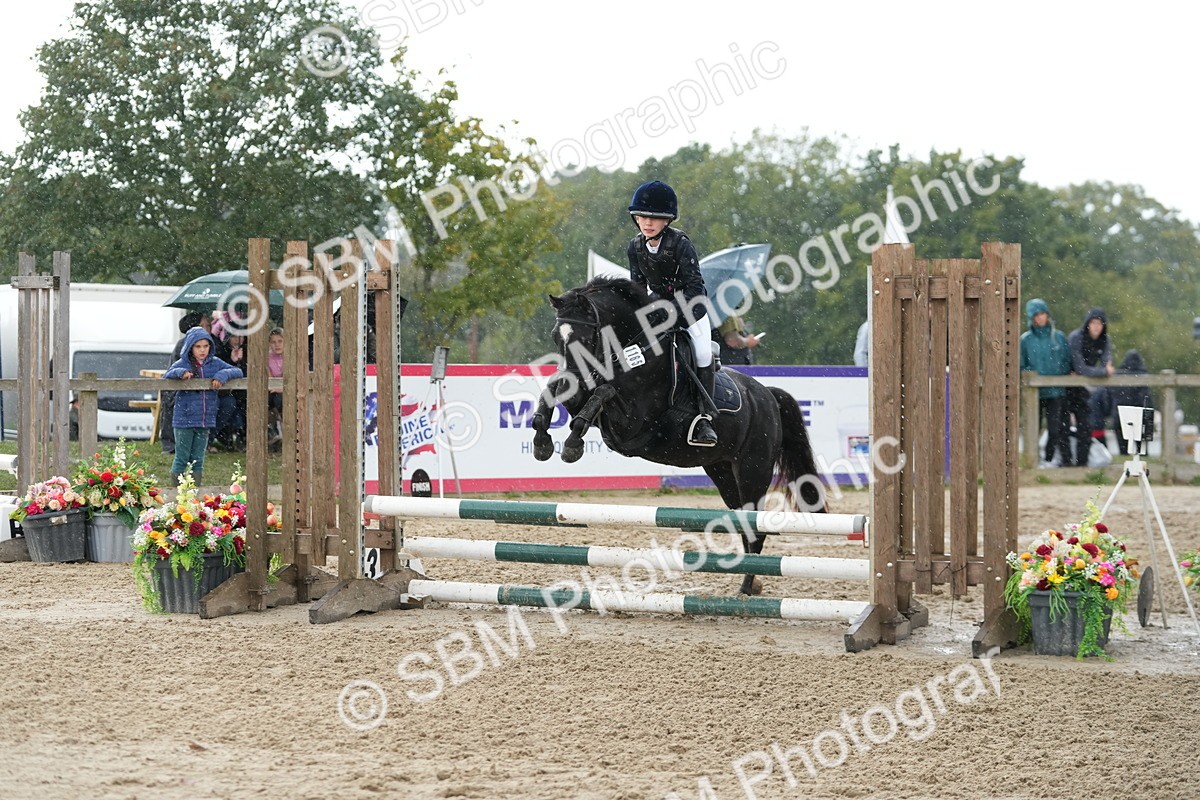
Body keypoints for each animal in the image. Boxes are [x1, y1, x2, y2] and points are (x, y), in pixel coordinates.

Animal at [530, 276, 826, 595]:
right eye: (555, 337)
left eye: (585, 338)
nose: (571, 381)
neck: (636, 348)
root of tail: (767, 395)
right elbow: (554, 392)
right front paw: (543, 442)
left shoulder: (633, 423)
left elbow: (603, 392)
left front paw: (572, 444)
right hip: (722, 471)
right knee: (743, 523)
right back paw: (750, 581)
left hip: (753, 470)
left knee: (755, 527)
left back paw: (747, 586)